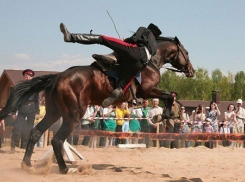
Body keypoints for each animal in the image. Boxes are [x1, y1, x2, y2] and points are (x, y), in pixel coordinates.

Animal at [0, 36, 193, 174]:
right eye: (186, 52)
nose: (191, 70)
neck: (150, 61)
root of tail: (57, 77)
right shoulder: (148, 91)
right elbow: (169, 98)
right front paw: (161, 115)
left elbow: (169, 98)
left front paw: (163, 115)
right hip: (73, 115)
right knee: (57, 139)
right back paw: (64, 169)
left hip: (54, 113)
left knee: (35, 132)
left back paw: (27, 165)